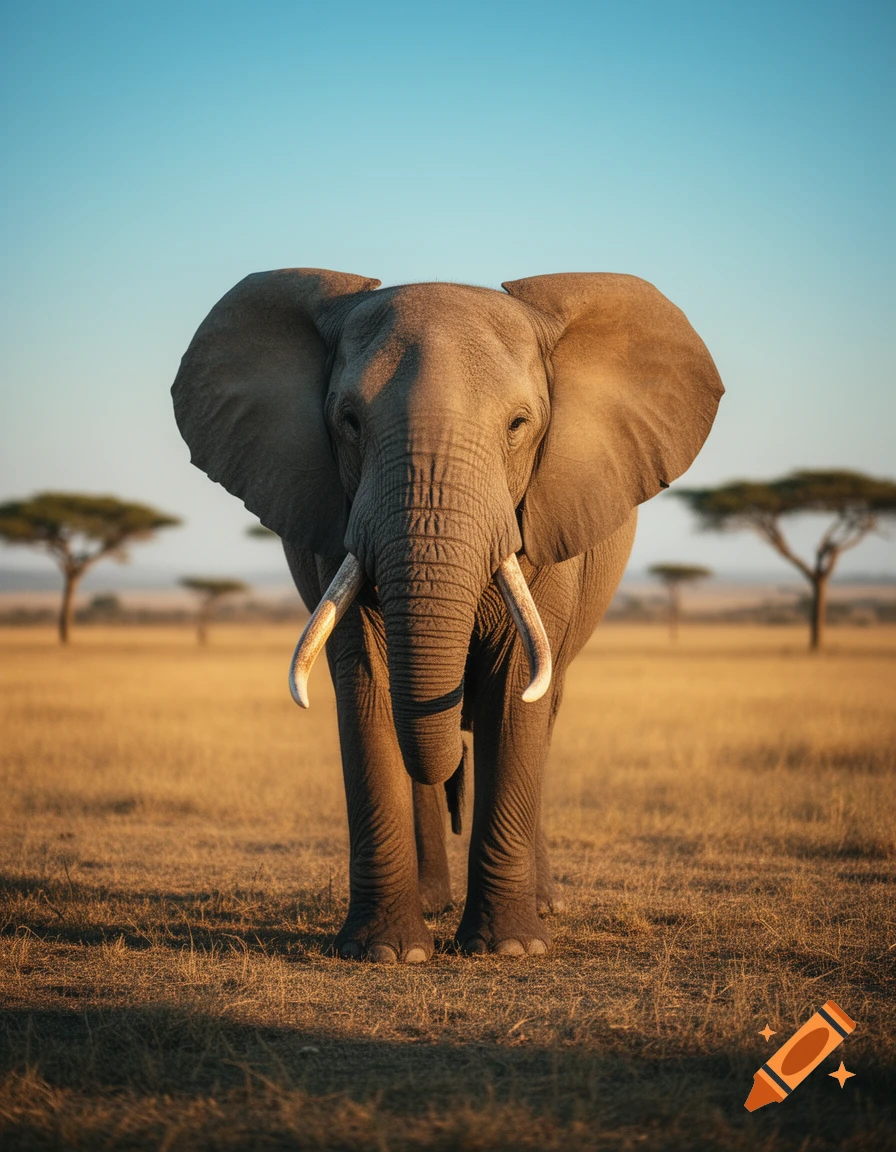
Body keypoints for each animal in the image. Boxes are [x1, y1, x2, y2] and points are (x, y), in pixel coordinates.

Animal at [172, 269, 723, 962]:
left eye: (519, 424)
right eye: (348, 421)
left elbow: (516, 693)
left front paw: (510, 949)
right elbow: (367, 685)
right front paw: (387, 953)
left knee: (544, 709)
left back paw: (540, 905)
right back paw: (433, 904)